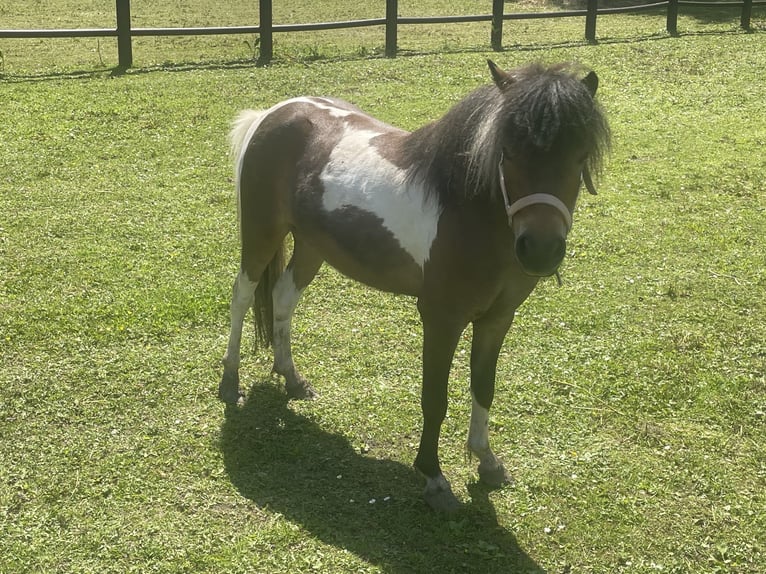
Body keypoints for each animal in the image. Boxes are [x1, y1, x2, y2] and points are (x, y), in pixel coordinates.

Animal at [219, 61, 610, 512]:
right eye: (508, 153)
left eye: (580, 156)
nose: (541, 251)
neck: (466, 211)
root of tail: (272, 113)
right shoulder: (441, 318)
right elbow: (434, 398)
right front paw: (434, 477)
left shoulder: (498, 319)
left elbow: (484, 386)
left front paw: (487, 461)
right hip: (261, 234)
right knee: (242, 296)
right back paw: (229, 381)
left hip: (312, 247)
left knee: (282, 299)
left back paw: (292, 378)